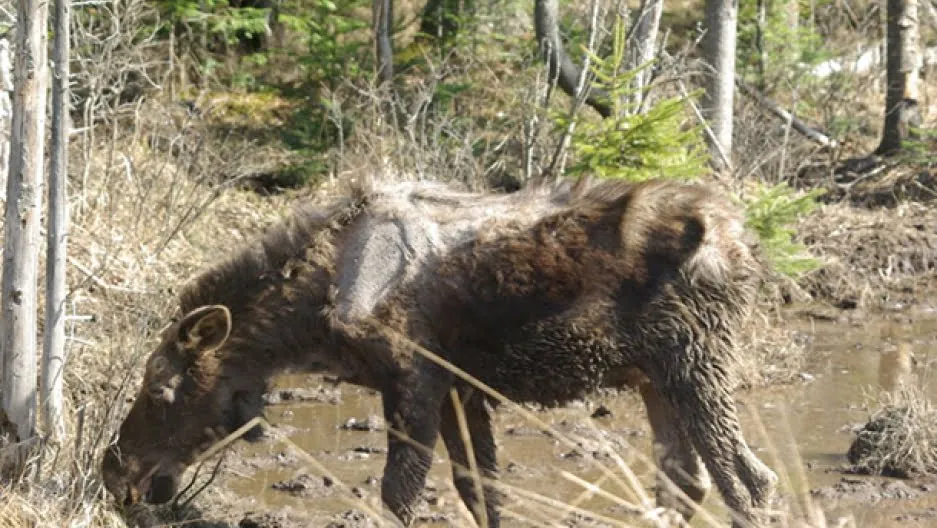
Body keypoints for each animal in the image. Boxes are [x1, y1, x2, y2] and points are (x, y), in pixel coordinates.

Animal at [100, 177, 776, 528]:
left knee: (749, 481)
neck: (311, 315)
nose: (114, 470)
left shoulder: (414, 380)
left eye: (160, 388)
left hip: (696, 365)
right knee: (685, 481)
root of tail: (745, 240)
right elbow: (481, 489)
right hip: (657, 378)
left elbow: (398, 495)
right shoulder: (459, 389)